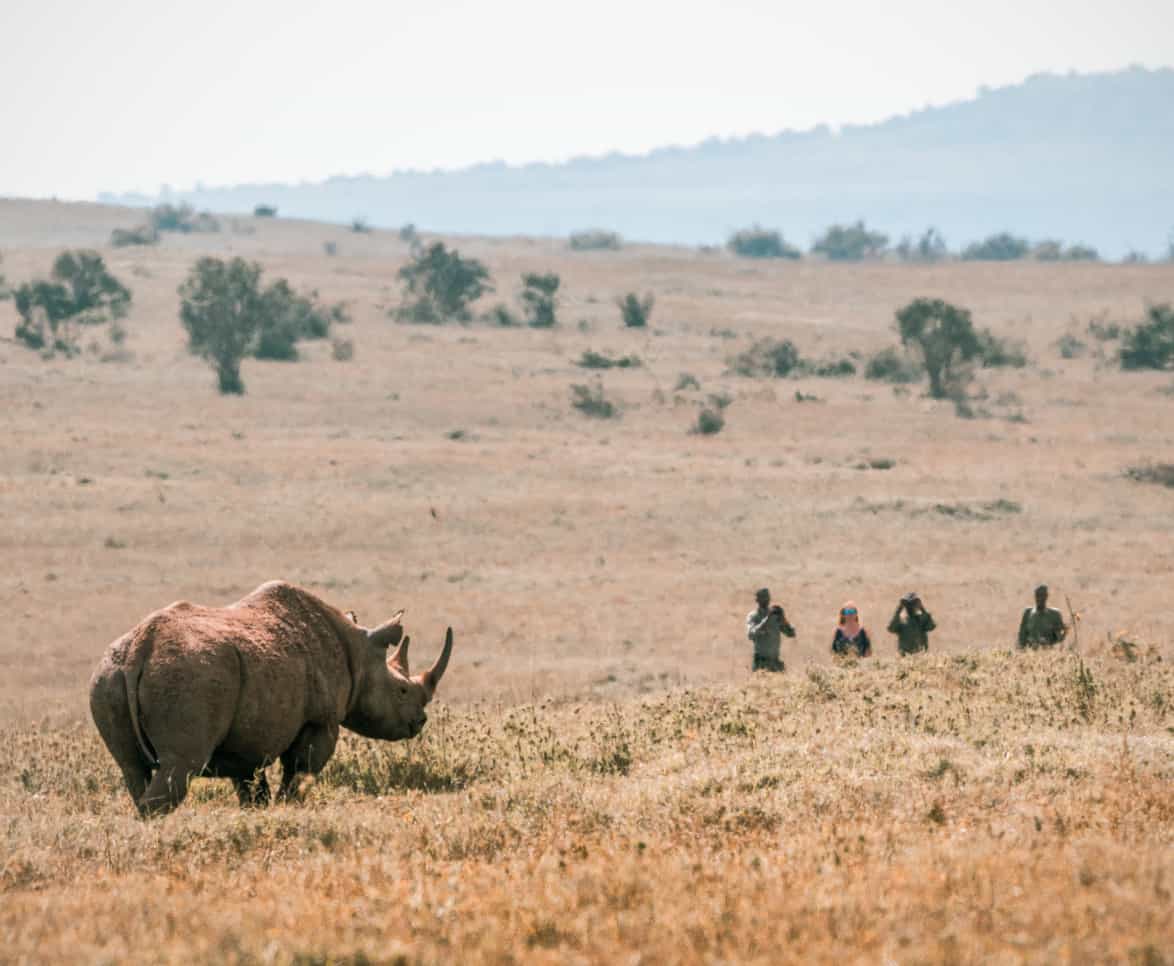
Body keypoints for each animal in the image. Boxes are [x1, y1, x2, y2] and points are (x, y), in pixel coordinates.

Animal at [86, 582, 450, 816]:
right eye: (402, 690)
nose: (420, 722)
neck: (358, 651)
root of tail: (141, 647)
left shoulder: (245, 738)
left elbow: (252, 788)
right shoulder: (321, 721)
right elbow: (300, 774)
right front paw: (289, 808)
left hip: (108, 677)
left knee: (132, 769)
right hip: (186, 676)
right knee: (180, 766)